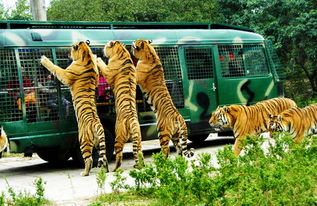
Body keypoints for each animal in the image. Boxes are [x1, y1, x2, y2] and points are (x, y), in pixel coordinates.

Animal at [40, 41, 108, 176]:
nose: (67, 53)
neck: (86, 56)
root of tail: (96, 123)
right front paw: (96, 57)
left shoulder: (65, 74)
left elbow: (56, 68)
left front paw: (44, 59)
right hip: (100, 142)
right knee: (104, 157)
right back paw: (107, 170)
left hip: (83, 141)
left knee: (89, 159)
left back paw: (84, 173)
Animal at [96, 40, 144, 172]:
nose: (101, 50)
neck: (122, 52)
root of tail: (132, 120)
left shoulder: (108, 72)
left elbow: (102, 65)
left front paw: (97, 58)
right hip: (138, 138)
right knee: (139, 153)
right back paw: (141, 165)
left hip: (118, 136)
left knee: (119, 156)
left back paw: (114, 169)